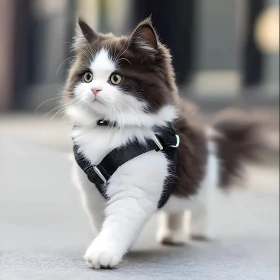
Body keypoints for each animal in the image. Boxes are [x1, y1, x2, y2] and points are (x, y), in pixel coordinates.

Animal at [64, 17, 266, 270]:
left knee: (201, 204)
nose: (94, 89)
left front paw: (103, 252)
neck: (108, 128)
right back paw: (173, 234)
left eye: (115, 78)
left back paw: (199, 231)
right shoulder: (90, 190)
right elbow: (101, 219)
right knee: (176, 210)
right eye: (88, 77)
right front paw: (119, 246)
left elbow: (119, 221)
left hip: (203, 176)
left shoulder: (136, 189)